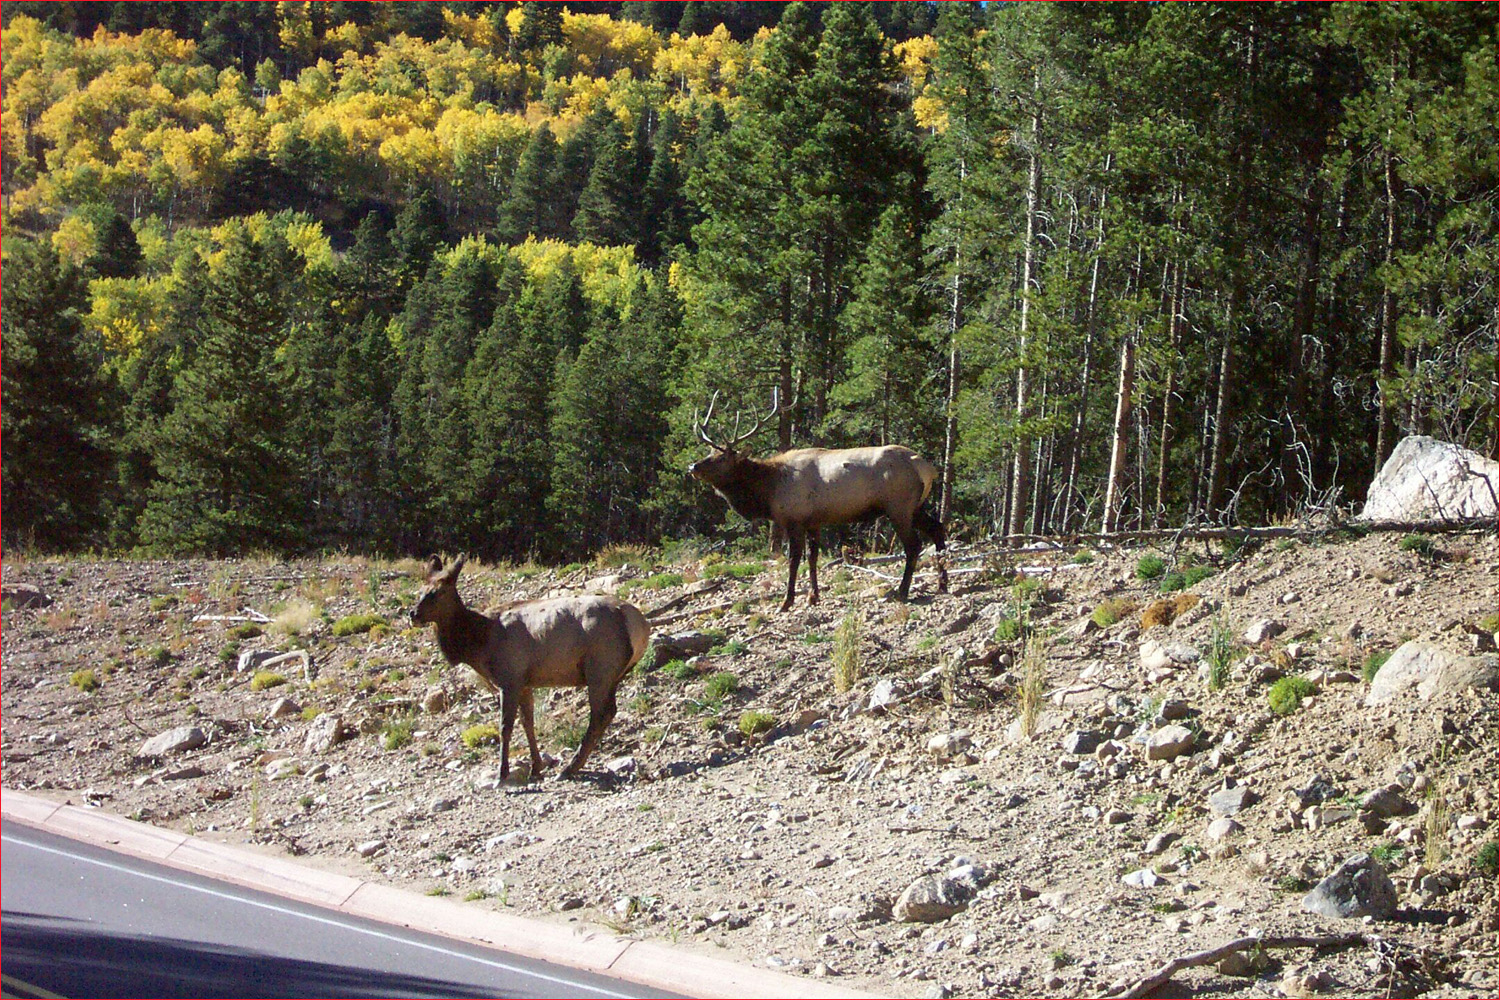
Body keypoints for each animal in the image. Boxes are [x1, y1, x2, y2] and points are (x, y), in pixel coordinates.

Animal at [411, 554, 651, 779]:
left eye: (438, 592)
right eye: (421, 590)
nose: (413, 613)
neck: (479, 643)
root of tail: (640, 625)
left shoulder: (509, 678)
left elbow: (505, 726)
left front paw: (502, 774)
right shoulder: (525, 683)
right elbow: (528, 723)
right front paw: (536, 768)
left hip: (600, 668)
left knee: (601, 714)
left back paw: (569, 768)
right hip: (611, 674)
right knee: (607, 712)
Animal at [687, 389, 942, 611]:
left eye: (722, 457)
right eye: (709, 452)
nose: (693, 467)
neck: (769, 490)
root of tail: (927, 468)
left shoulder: (794, 519)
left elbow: (793, 559)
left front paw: (787, 601)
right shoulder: (814, 521)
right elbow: (812, 557)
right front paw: (813, 596)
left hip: (898, 507)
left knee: (914, 545)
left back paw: (902, 591)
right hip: (916, 506)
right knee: (937, 528)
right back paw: (942, 583)